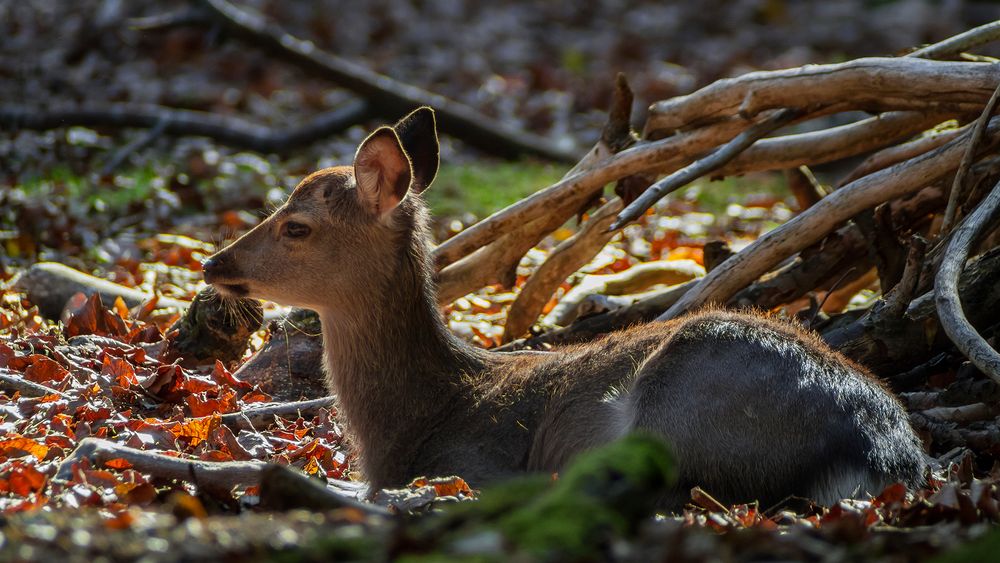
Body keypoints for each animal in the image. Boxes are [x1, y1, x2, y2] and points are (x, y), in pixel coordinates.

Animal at [203, 108, 928, 508]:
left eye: (296, 226)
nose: (215, 264)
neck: (412, 422)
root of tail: (884, 450)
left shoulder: (472, 461)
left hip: (685, 408)